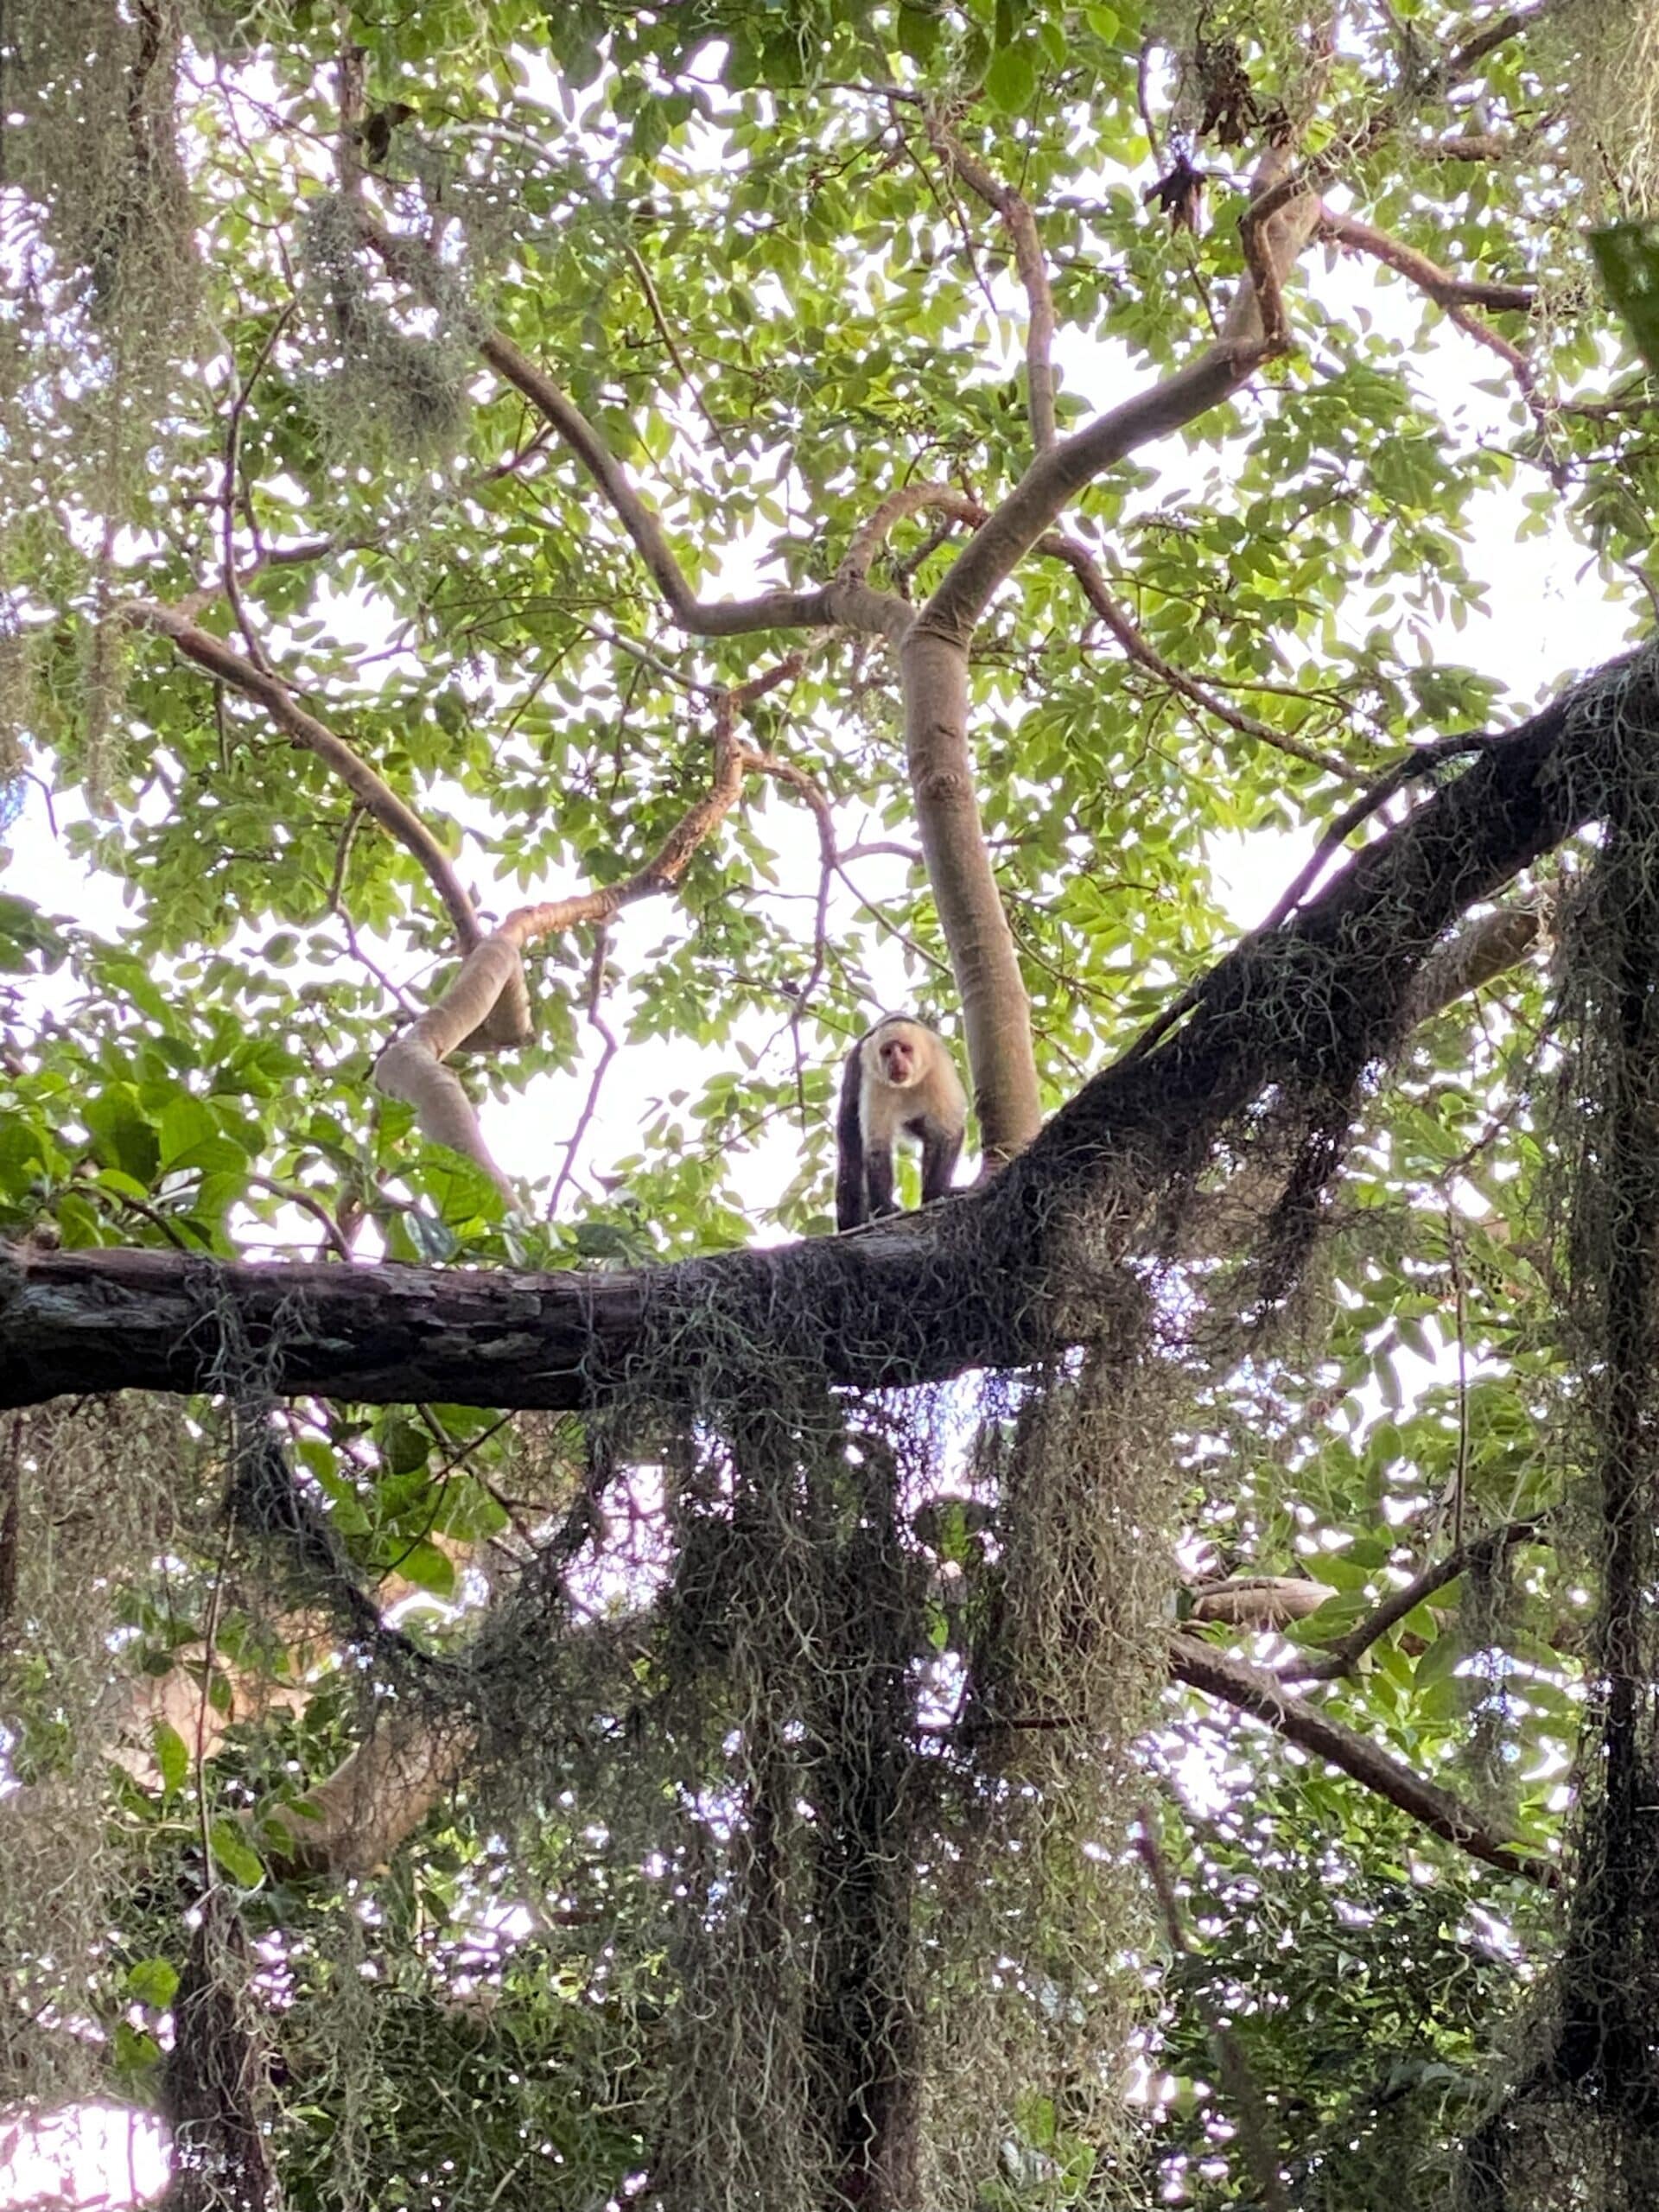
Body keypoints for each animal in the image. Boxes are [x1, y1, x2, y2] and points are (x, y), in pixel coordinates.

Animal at [835, 1014, 967, 1232]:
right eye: (887, 1052)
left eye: (905, 1049)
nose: (896, 1061)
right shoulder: (873, 1076)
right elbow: (877, 1146)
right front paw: (884, 1210)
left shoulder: (938, 1067)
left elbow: (948, 1132)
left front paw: (936, 1194)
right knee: (850, 1152)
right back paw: (851, 1223)